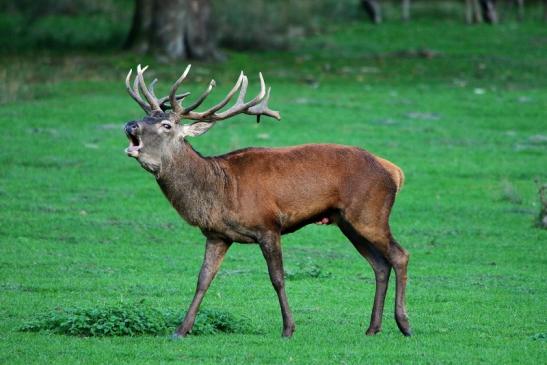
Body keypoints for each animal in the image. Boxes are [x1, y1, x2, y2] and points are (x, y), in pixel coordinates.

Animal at [120, 64, 412, 336]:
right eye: (145, 116)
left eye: (166, 125)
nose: (129, 124)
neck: (220, 191)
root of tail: (394, 171)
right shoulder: (217, 235)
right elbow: (203, 279)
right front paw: (180, 330)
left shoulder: (268, 226)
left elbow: (278, 278)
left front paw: (288, 328)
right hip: (347, 222)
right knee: (380, 265)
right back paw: (373, 328)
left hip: (370, 212)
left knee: (400, 255)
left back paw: (404, 324)